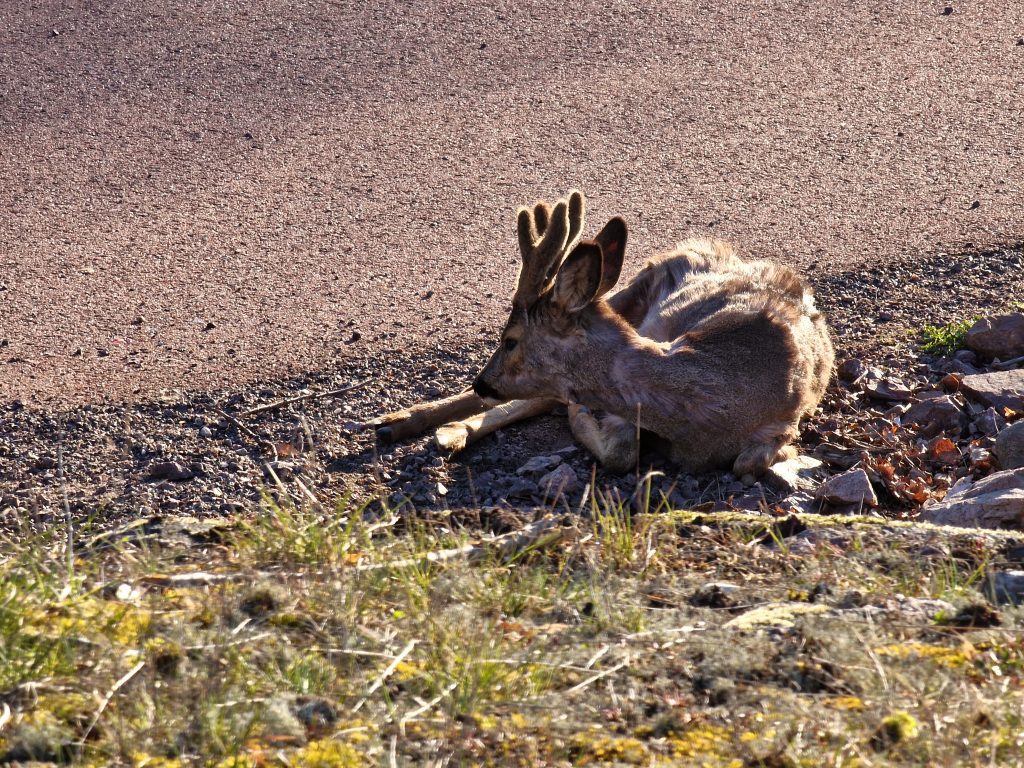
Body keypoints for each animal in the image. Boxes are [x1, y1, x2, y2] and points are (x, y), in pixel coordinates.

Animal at [372, 191, 835, 481]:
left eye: (511, 340)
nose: (483, 381)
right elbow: (618, 449)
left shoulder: (776, 432)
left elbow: (741, 462)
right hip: (630, 289)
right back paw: (400, 422)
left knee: (541, 398)